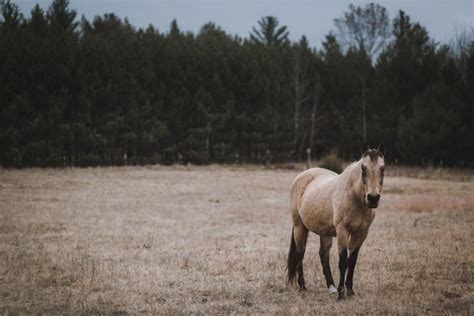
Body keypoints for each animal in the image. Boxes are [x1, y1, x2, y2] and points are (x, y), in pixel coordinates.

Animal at [286, 143, 386, 302]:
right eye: (363, 168)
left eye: (383, 168)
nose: (372, 198)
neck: (356, 198)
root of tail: (302, 176)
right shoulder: (342, 231)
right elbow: (343, 261)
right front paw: (341, 294)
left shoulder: (362, 233)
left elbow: (352, 261)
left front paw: (350, 290)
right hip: (299, 227)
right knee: (300, 253)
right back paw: (303, 286)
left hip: (324, 232)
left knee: (323, 255)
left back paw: (331, 287)